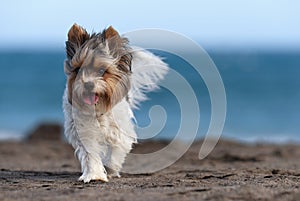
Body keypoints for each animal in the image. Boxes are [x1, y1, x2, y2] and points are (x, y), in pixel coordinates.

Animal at [62, 23, 169, 182]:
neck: (98, 108)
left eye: (102, 70)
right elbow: (90, 153)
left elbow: (117, 150)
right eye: (78, 69)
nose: (88, 84)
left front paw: (110, 169)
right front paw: (94, 175)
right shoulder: (83, 130)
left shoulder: (120, 131)